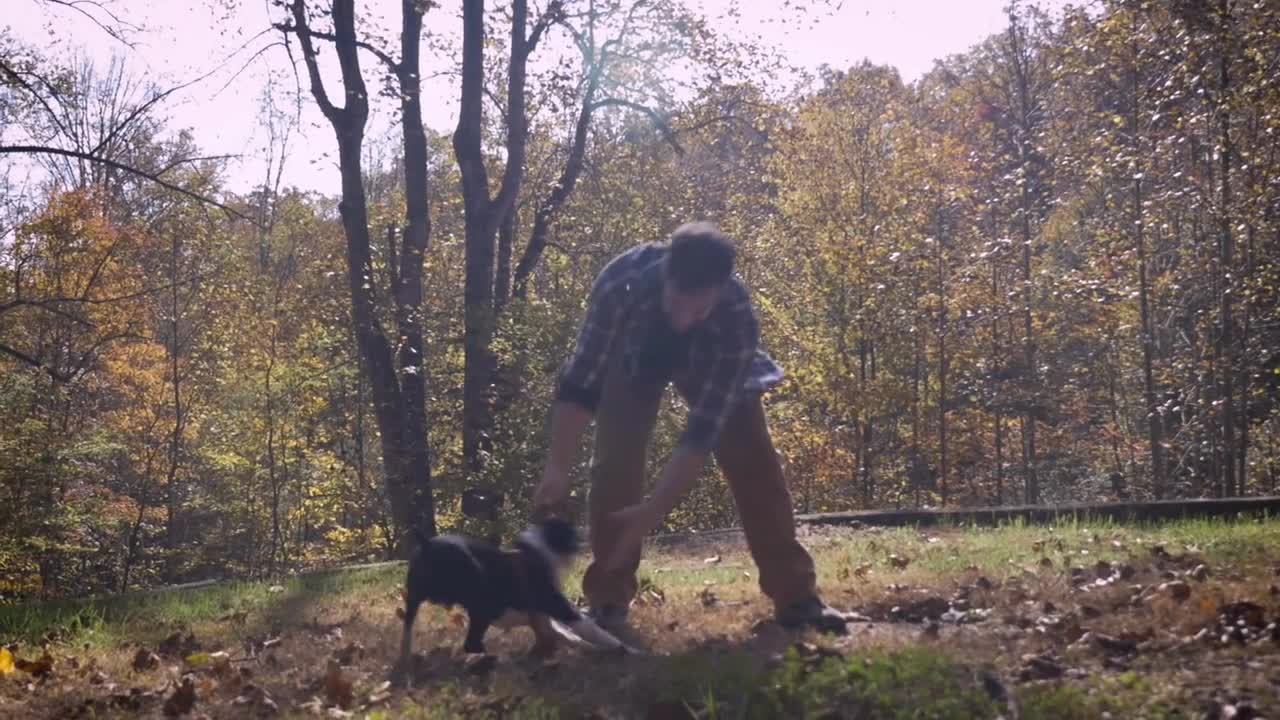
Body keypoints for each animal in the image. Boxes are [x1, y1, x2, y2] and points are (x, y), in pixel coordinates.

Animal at [391, 515, 627, 666]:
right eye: (569, 530)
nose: (586, 530)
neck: (537, 553)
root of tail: (427, 544)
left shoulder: (540, 615)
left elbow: (565, 634)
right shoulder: (556, 606)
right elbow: (592, 630)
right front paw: (622, 649)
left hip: (415, 597)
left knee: (408, 627)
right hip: (478, 602)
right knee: (471, 643)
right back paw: (495, 659)